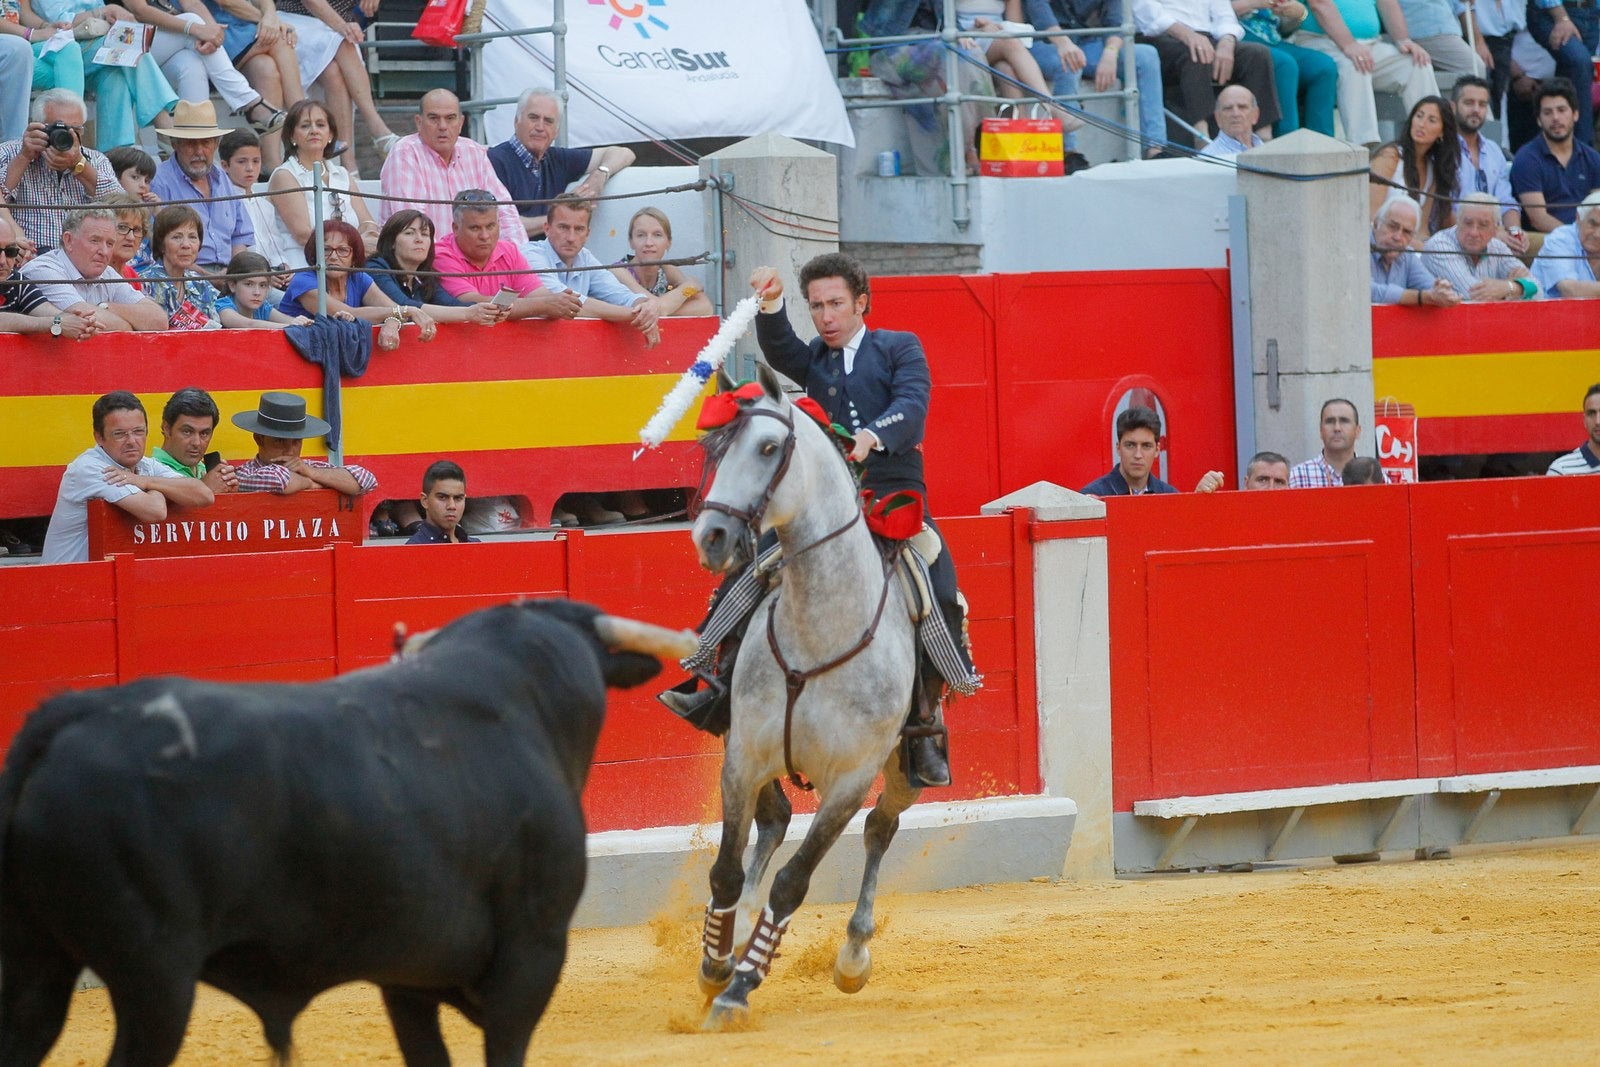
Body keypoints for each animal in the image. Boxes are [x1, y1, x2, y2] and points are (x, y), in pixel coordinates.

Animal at [691, 364, 928, 1023]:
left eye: (770, 448)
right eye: (712, 449)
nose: (710, 536)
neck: (821, 626)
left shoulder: (850, 780)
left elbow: (795, 881)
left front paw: (743, 985)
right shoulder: (743, 755)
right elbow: (726, 868)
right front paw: (718, 963)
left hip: (903, 769)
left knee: (880, 828)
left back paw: (852, 955)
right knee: (772, 821)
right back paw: (739, 931)